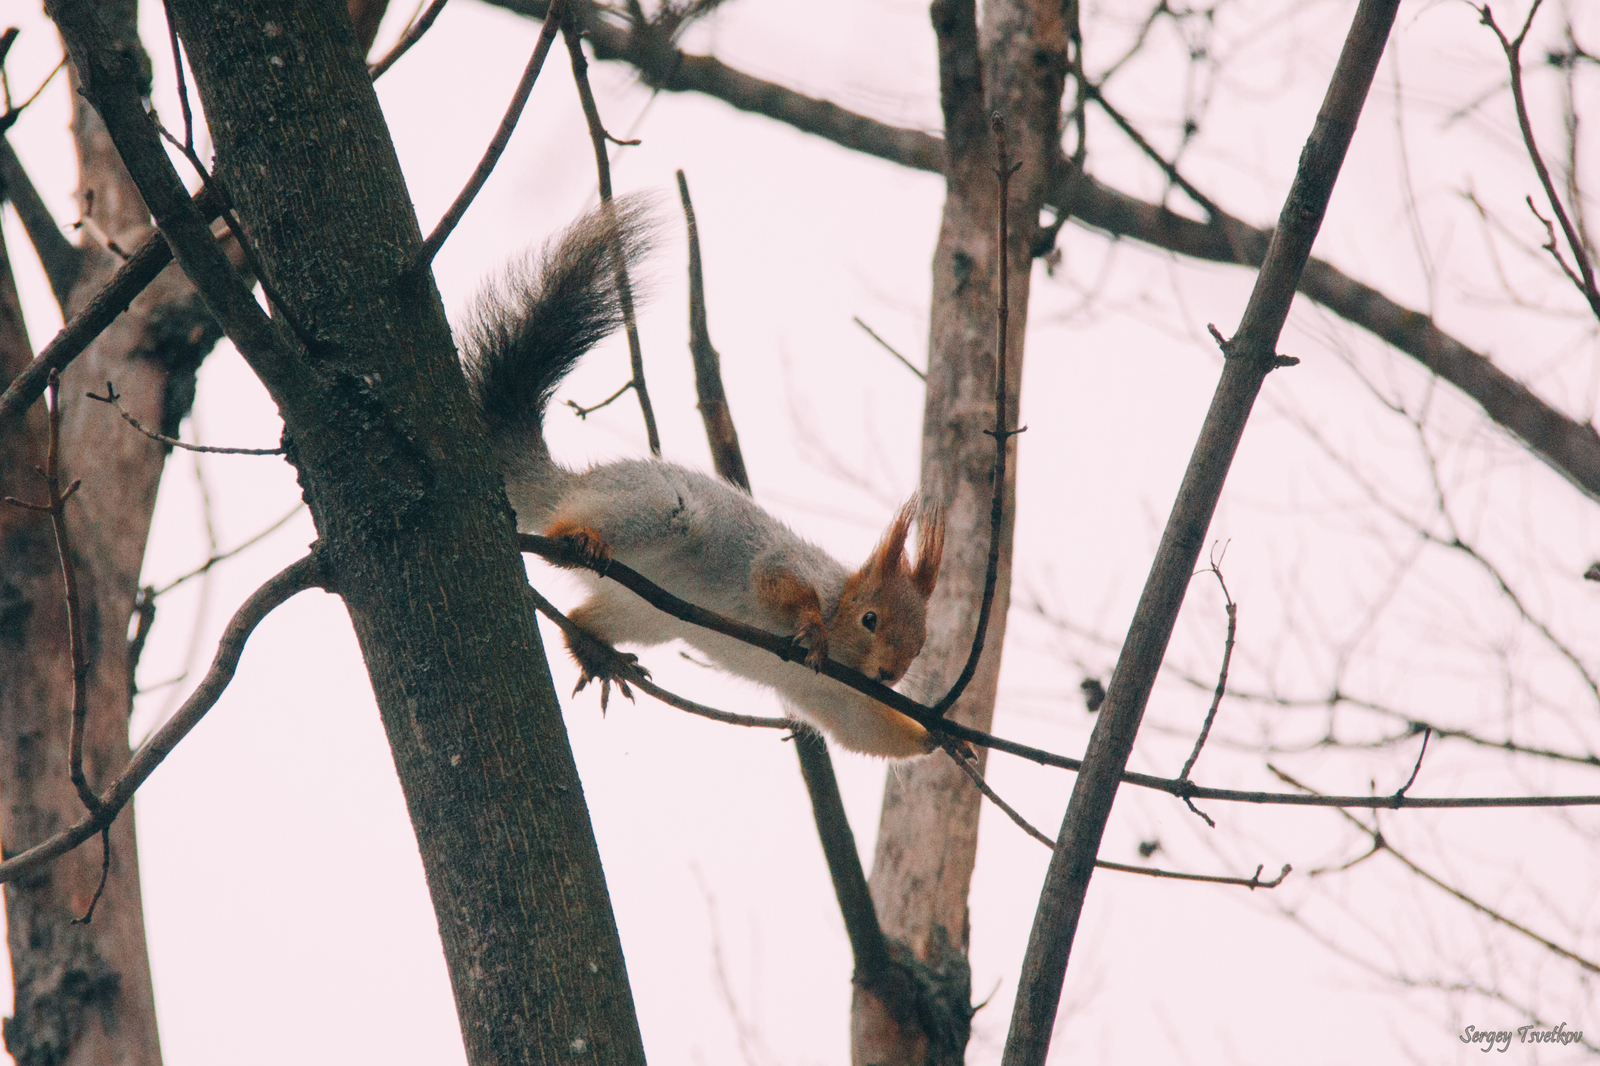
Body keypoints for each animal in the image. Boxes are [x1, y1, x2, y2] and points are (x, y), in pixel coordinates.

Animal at [457, 196, 940, 745]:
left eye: (921, 643)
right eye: (870, 619)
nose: (889, 675)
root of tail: (571, 485)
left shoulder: (835, 696)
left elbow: (866, 731)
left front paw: (942, 738)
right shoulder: (787, 568)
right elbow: (775, 582)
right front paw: (813, 626)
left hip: (644, 617)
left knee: (579, 616)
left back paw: (598, 656)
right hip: (654, 508)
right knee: (573, 527)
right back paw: (579, 540)